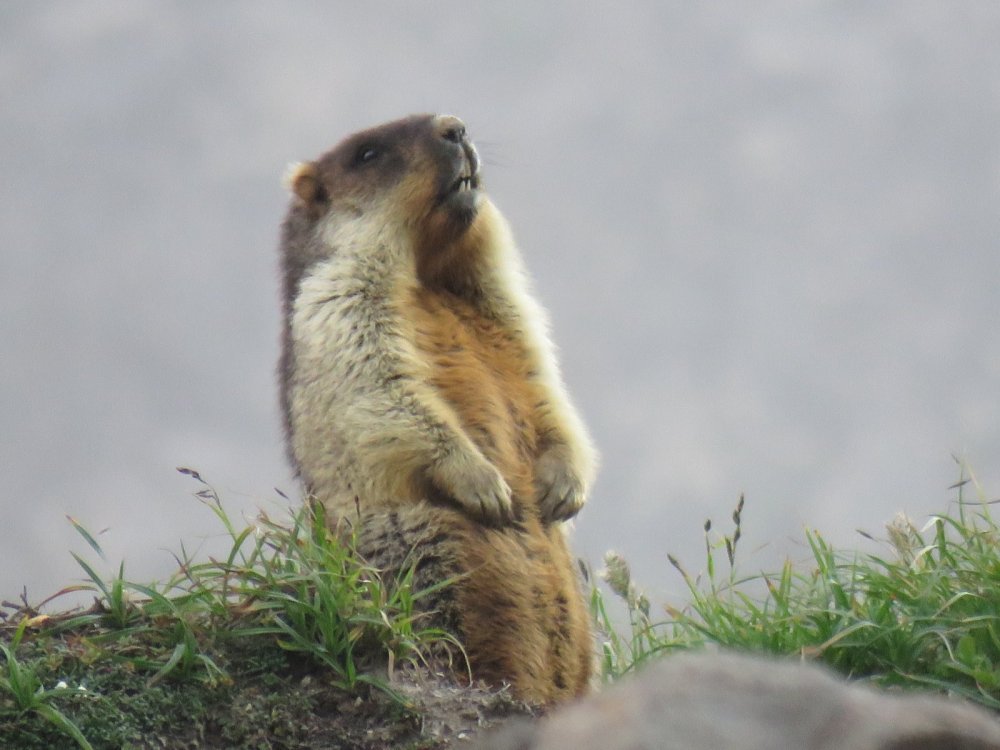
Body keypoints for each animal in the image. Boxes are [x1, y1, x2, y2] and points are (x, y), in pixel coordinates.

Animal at [278, 114, 597, 703]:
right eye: (367, 153)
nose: (456, 126)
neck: (430, 275)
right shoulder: (335, 302)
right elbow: (378, 386)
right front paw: (488, 487)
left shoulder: (511, 307)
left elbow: (545, 386)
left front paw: (563, 488)